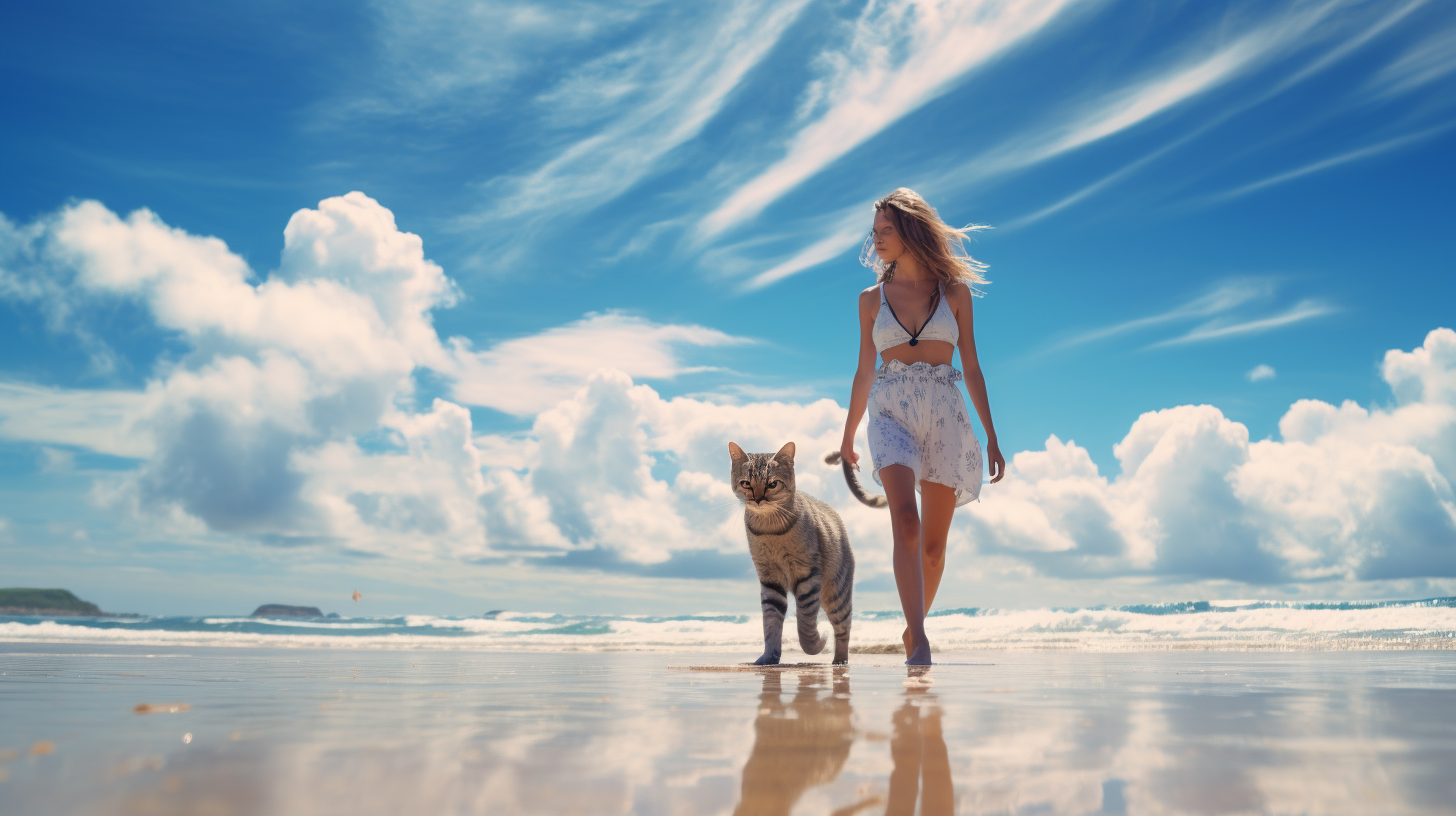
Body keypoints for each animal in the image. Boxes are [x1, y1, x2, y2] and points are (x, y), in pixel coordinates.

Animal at [728, 440, 850, 664]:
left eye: (772, 484)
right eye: (746, 483)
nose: (758, 499)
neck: (770, 529)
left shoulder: (807, 575)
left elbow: (805, 623)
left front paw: (817, 643)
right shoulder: (770, 579)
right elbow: (771, 623)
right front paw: (769, 656)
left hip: (838, 594)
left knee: (843, 628)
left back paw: (840, 659)